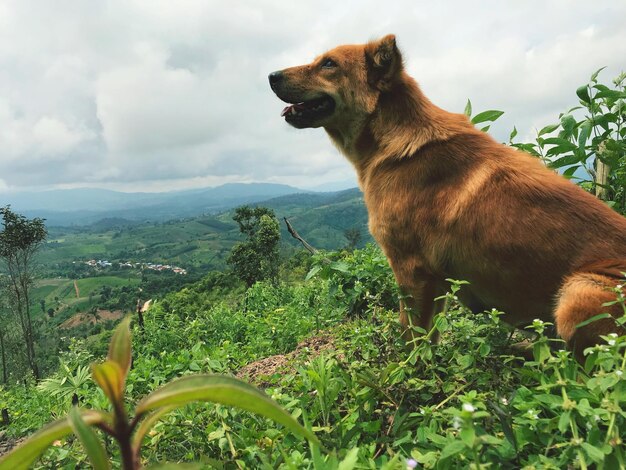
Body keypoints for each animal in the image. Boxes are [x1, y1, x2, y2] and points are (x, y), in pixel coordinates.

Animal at [270, 35, 624, 358]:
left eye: (328, 64)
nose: (271, 75)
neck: (393, 139)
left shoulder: (411, 270)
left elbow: (411, 338)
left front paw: (406, 373)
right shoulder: (436, 280)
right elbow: (430, 337)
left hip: (578, 293)